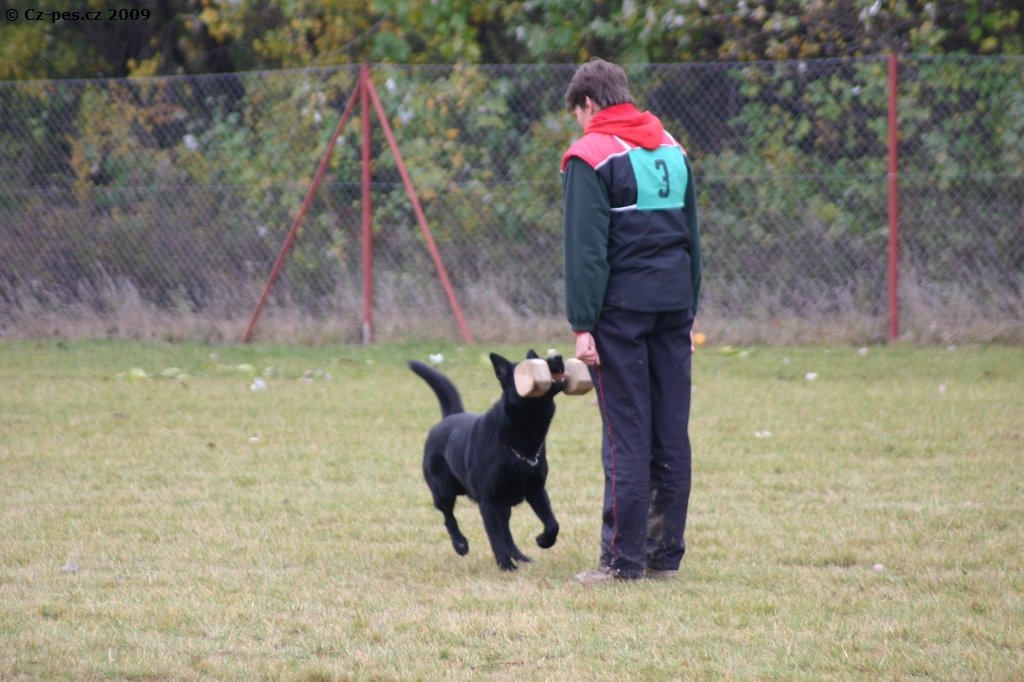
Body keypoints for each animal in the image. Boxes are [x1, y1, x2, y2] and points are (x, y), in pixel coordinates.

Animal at [408, 350, 565, 571]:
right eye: (533, 364)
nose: (558, 357)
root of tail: (450, 417)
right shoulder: (488, 501)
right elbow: (495, 538)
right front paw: (506, 566)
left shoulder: (536, 490)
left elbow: (552, 524)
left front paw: (543, 541)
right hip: (443, 491)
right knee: (449, 518)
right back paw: (460, 544)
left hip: (503, 505)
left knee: (507, 530)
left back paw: (520, 556)